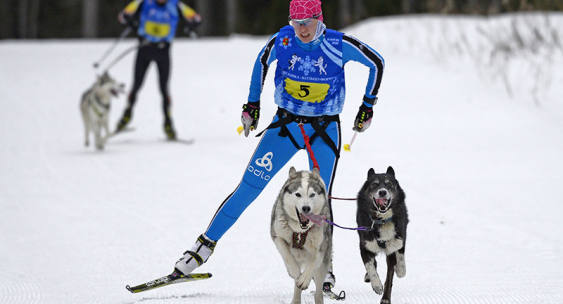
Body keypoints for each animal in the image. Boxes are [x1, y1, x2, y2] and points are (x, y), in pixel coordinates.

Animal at [270, 167, 332, 302]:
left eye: (312, 194)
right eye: (298, 194)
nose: (306, 208)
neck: (300, 231)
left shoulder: (321, 246)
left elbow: (314, 260)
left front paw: (304, 280)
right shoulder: (277, 236)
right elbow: (286, 254)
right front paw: (294, 271)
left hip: (322, 266)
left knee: (318, 291)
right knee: (296, 284)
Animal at [360, 166, 408, 304]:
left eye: (389, 184)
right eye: (375, 184)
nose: (382, 192)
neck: (382, 220)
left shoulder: (391, 251)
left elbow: (389, 277)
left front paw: (386, 298)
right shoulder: (364, 245)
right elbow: (370, 266)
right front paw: (376, 285)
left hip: (401, 234)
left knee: (401, 251)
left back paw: (401, 269)